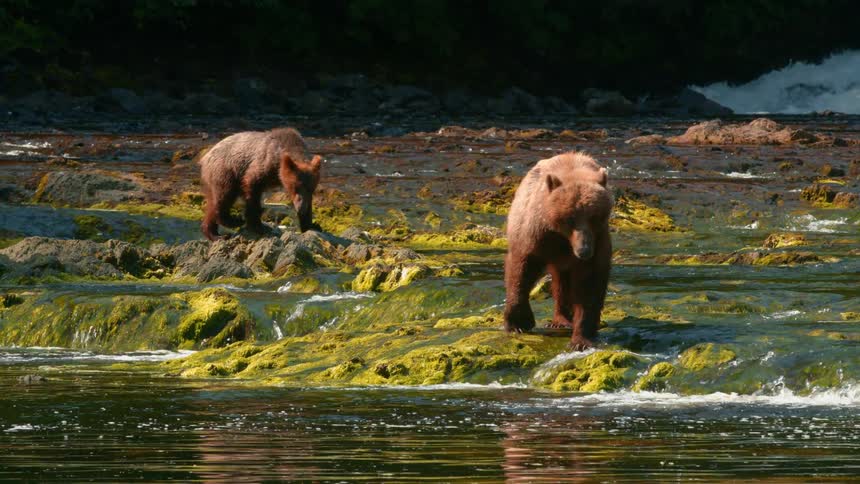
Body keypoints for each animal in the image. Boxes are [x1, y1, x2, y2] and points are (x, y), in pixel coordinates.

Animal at [503, 151, 613, 350]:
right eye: (570, 218)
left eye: (594, 217)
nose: (584, 250)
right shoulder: (535, 234)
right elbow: (521, 268)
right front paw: (518, 323)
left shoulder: (598, 240)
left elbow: (589, 286)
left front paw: (581, 339)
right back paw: (559, 321)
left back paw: (563, 319)